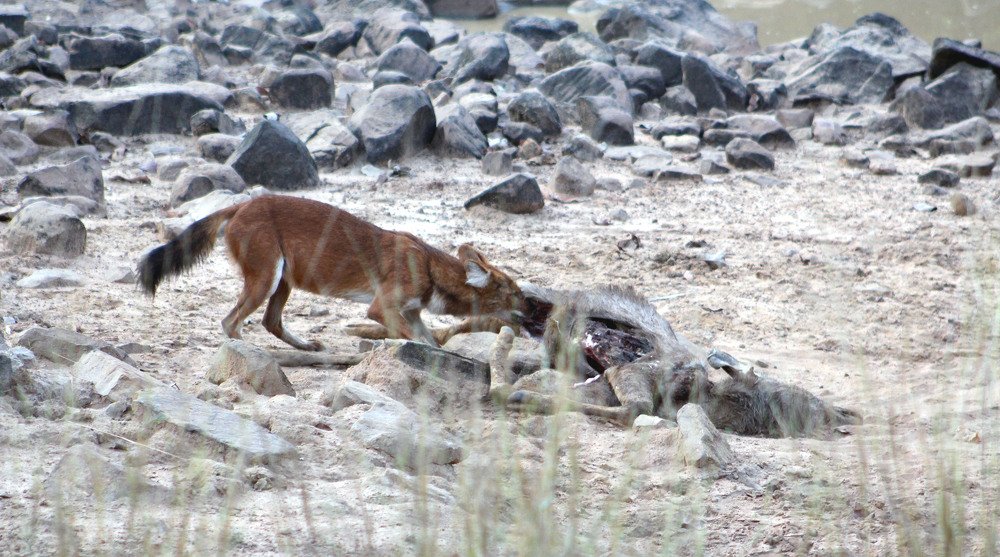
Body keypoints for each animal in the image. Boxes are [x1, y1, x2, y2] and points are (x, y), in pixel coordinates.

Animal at [136, 195, 524, 350]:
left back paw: (306, 346)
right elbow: (410, 338)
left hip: (283, 281)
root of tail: (241, 203)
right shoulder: (381, 307)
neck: (428, 265)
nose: (532, 307)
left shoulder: (412, 312)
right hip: (266, 279)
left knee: (270, 321)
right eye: (514, 291)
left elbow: (430, 341)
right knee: (230, 322)